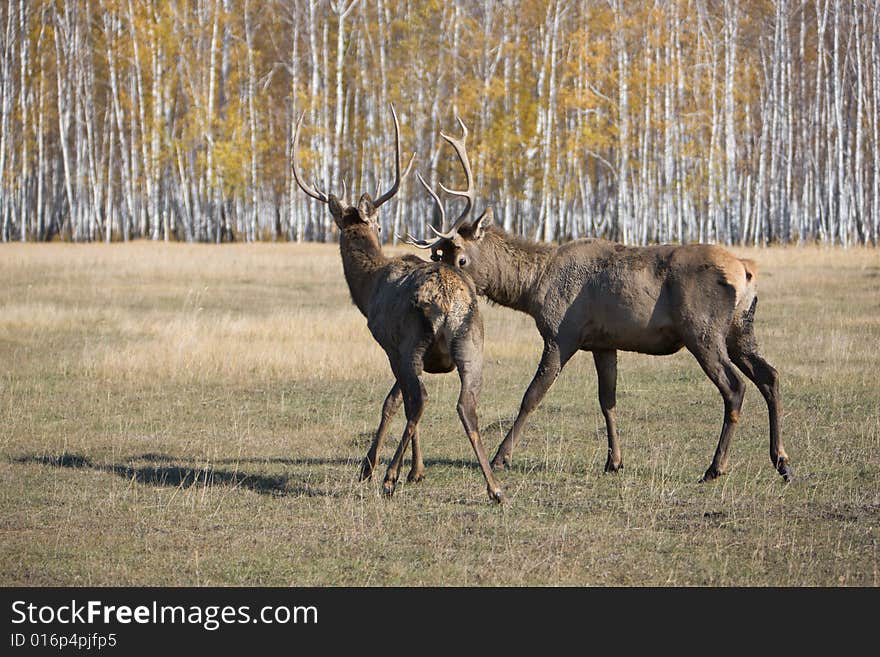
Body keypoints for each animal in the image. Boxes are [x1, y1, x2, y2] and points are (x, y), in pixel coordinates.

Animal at [292, 106, 502, 502]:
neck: (368, 289)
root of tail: (447, 299)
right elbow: (398, 401)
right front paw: (413, 471)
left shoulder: (388, 344)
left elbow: (393, 402)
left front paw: (377, 468)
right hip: (473, 342)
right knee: (466, 404)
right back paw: (495, 488)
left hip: (411, 341)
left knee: (419, 399)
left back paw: (389, 478)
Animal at [410, 118, 796, 484]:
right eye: (439, 255)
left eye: (461, 259)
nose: (446, 288)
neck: (532, 289)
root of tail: (746, 271)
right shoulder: (603, 343)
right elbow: (607, 400)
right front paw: (614, 461)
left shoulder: (562, 335)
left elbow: (532, 396)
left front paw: (500, 457)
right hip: (740, 329)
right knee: (770, 375)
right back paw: (782, 462)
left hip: (702, 330)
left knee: (735, 387)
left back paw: (715, 468)